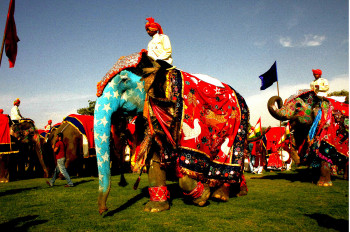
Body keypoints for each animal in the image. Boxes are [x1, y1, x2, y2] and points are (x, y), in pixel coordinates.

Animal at [94, 49, 253, 215]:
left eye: (124, 80)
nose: (104, 210)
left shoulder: (185, 116)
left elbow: (184, 160)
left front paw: (203, 196)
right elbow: (155, 156)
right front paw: (155, 208)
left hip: (239, 127)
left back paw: (220, 195)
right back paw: (237, 191)